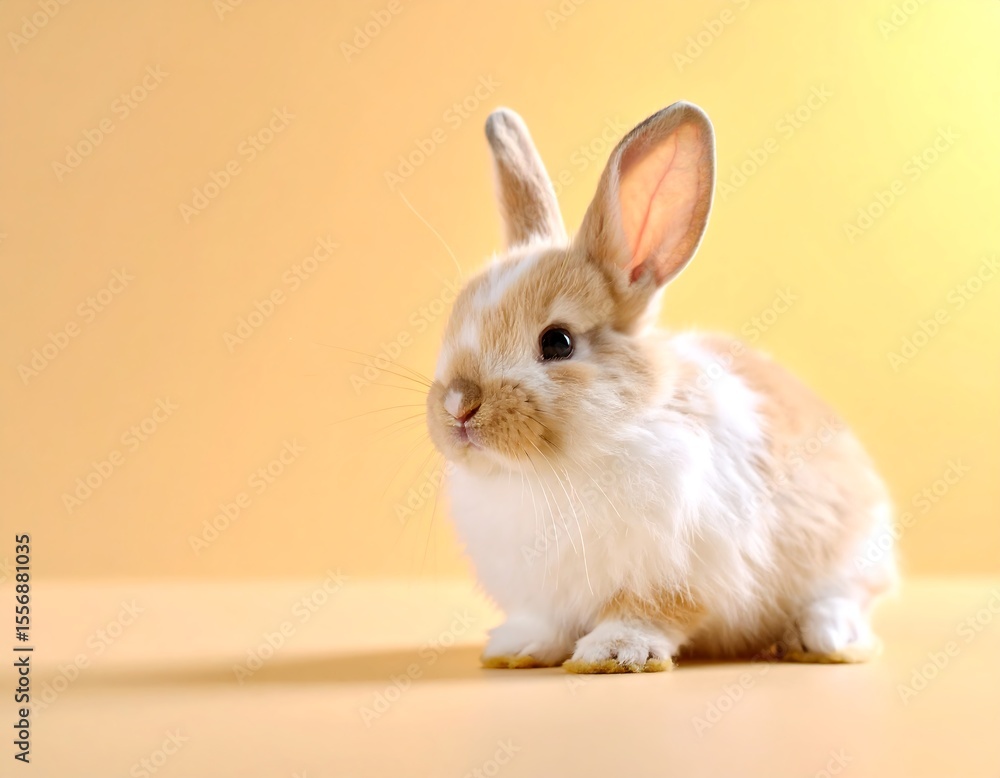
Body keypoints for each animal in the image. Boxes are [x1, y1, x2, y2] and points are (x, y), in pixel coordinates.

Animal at [424, 101, 897, 673]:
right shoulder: (543, 593)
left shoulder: (684, 567)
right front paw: (518, 648)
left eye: (558, 342)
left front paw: (613, 653)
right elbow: (545, 621)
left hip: (851, 554)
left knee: (846, 596)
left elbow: (646, 610)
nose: (458, 406)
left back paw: (820, 639)